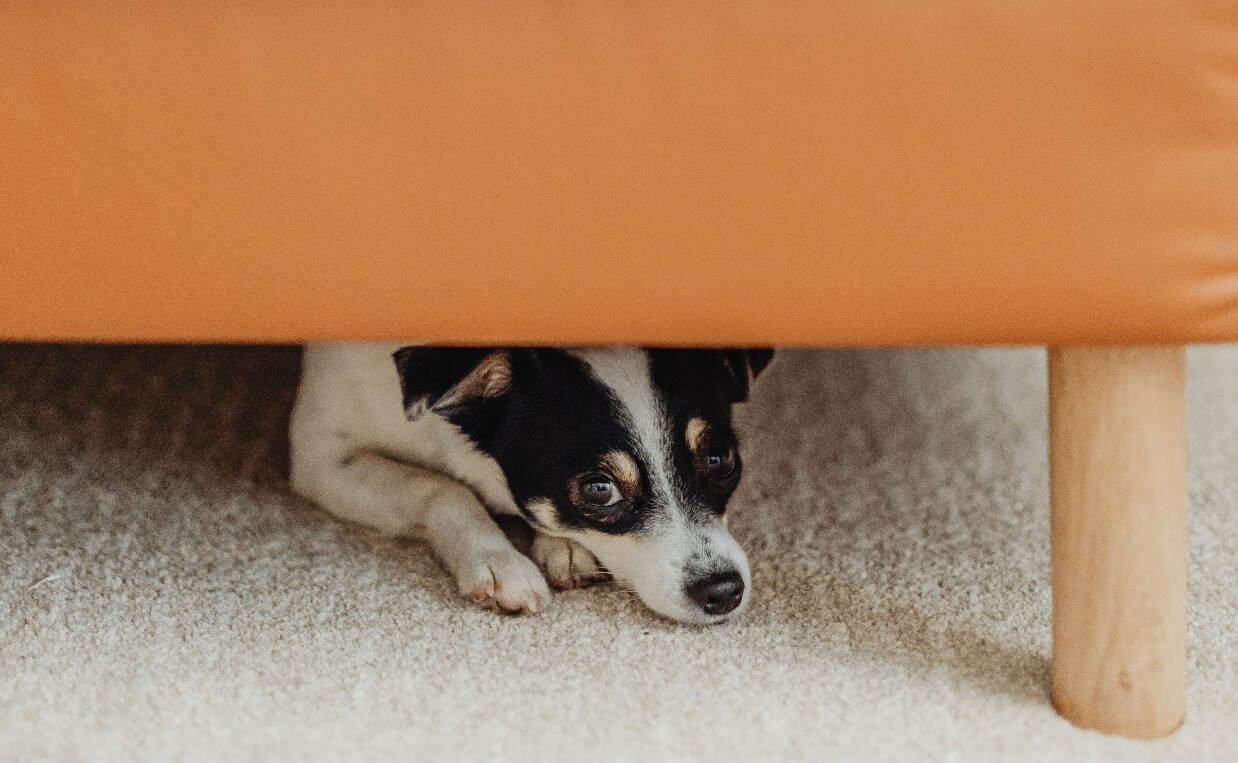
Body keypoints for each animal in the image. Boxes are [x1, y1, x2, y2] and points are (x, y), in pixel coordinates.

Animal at [290, 341, 772, 621]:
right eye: (599, 490)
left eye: (720, 459)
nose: (723, 591)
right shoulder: (322, 456)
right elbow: (441, 487)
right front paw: (500, 562)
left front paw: (563, 547)